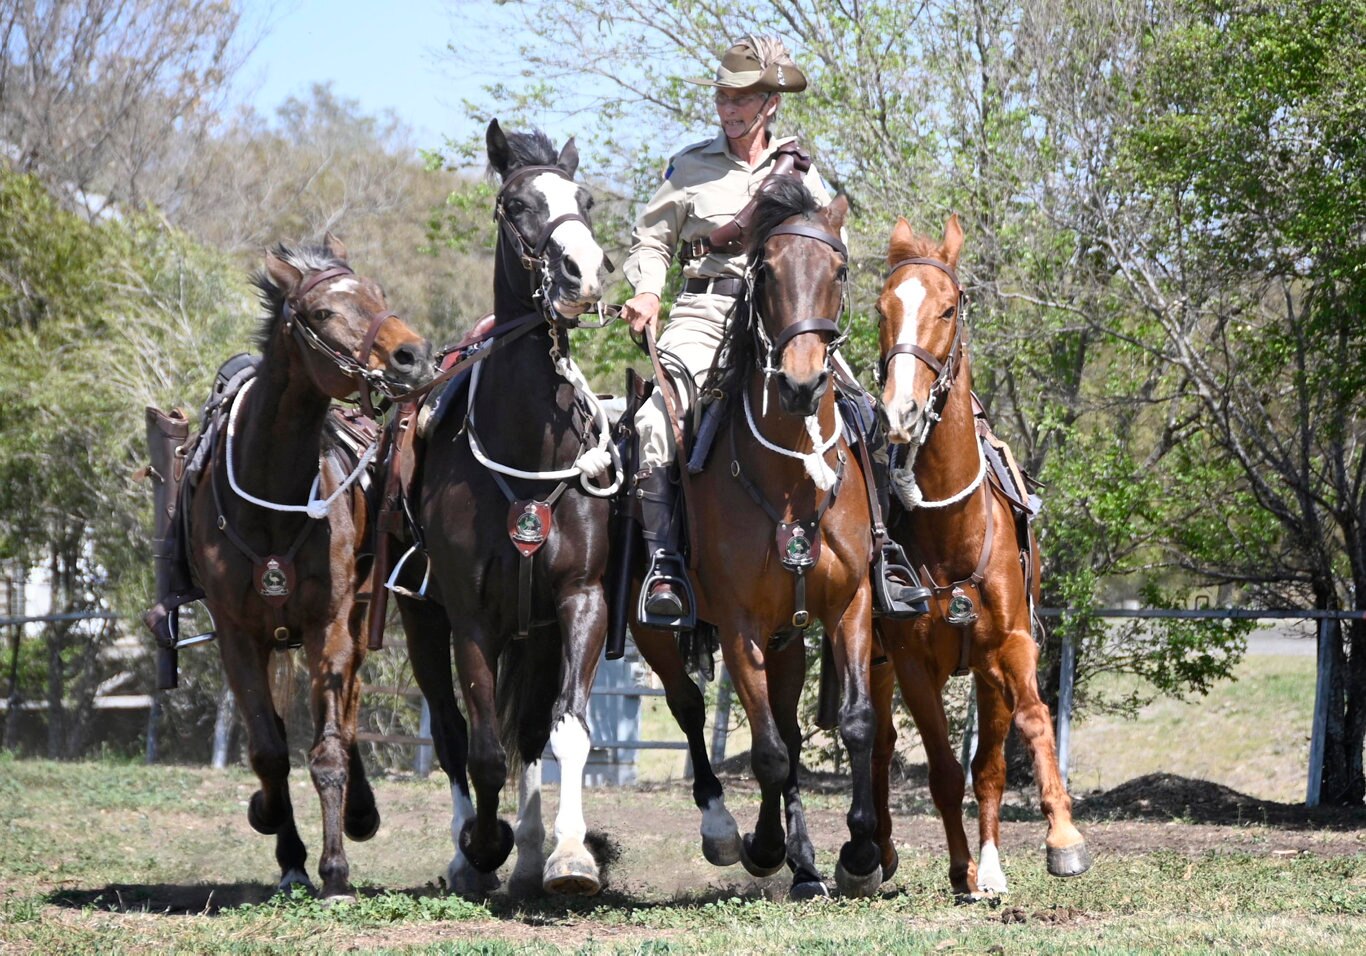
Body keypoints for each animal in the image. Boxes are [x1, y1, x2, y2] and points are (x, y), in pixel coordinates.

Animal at [185, 237, 431, 895]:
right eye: (323, 312)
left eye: (378, 294)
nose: (414, 357)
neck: (270, 492)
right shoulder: (237, 636)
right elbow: (269, 750)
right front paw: (287, 847)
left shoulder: (331, 625)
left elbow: (328, 750)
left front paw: (335, 868)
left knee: (346, 718)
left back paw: (361, 812)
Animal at [390, 119, 614, 895]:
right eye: (516, 204)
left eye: (585, 199)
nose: (584, 272)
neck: (528, 443)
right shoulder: (469, 618)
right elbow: (481, 748)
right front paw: (482, 845)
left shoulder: (580, 601)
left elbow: (565, 731)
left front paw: (568, 854)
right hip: (423, 623)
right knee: (455, 734)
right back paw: (473, 853)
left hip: (537, 633)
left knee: (529, 736)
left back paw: (532, 849)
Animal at [652, 181, 885, 901]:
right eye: (768, 272)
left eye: (839, 270)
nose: (802, 383)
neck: (790, 482)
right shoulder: (740, 627)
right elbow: (769, 753)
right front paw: (762, 848)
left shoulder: (847, 608)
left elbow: (852, 726)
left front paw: (858, 855)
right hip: (654, 631)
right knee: (688, 706)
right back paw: (726, 830)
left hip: (790, 641)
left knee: (784, 725)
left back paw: (805, 864)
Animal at [874, 214, 1087, 895]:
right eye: (883, 308)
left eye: (947, 308)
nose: (902, 410)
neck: (953, 531)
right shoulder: (912, 664)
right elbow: (942, 769)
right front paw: (960, 867)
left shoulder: (1012, 647)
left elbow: (1029, 727)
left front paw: (1060, 839)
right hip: (876, 662)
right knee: (877, 745)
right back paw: (879, 850)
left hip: (989, 675)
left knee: (990, 759)